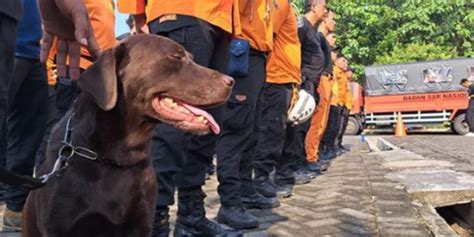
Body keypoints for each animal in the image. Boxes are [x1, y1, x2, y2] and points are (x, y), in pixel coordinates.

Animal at [22, 34, 233, 237]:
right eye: (175, 57)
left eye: (191, 58)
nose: (231, 81)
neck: (116, 158)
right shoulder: (59, 226)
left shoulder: (140, 223)